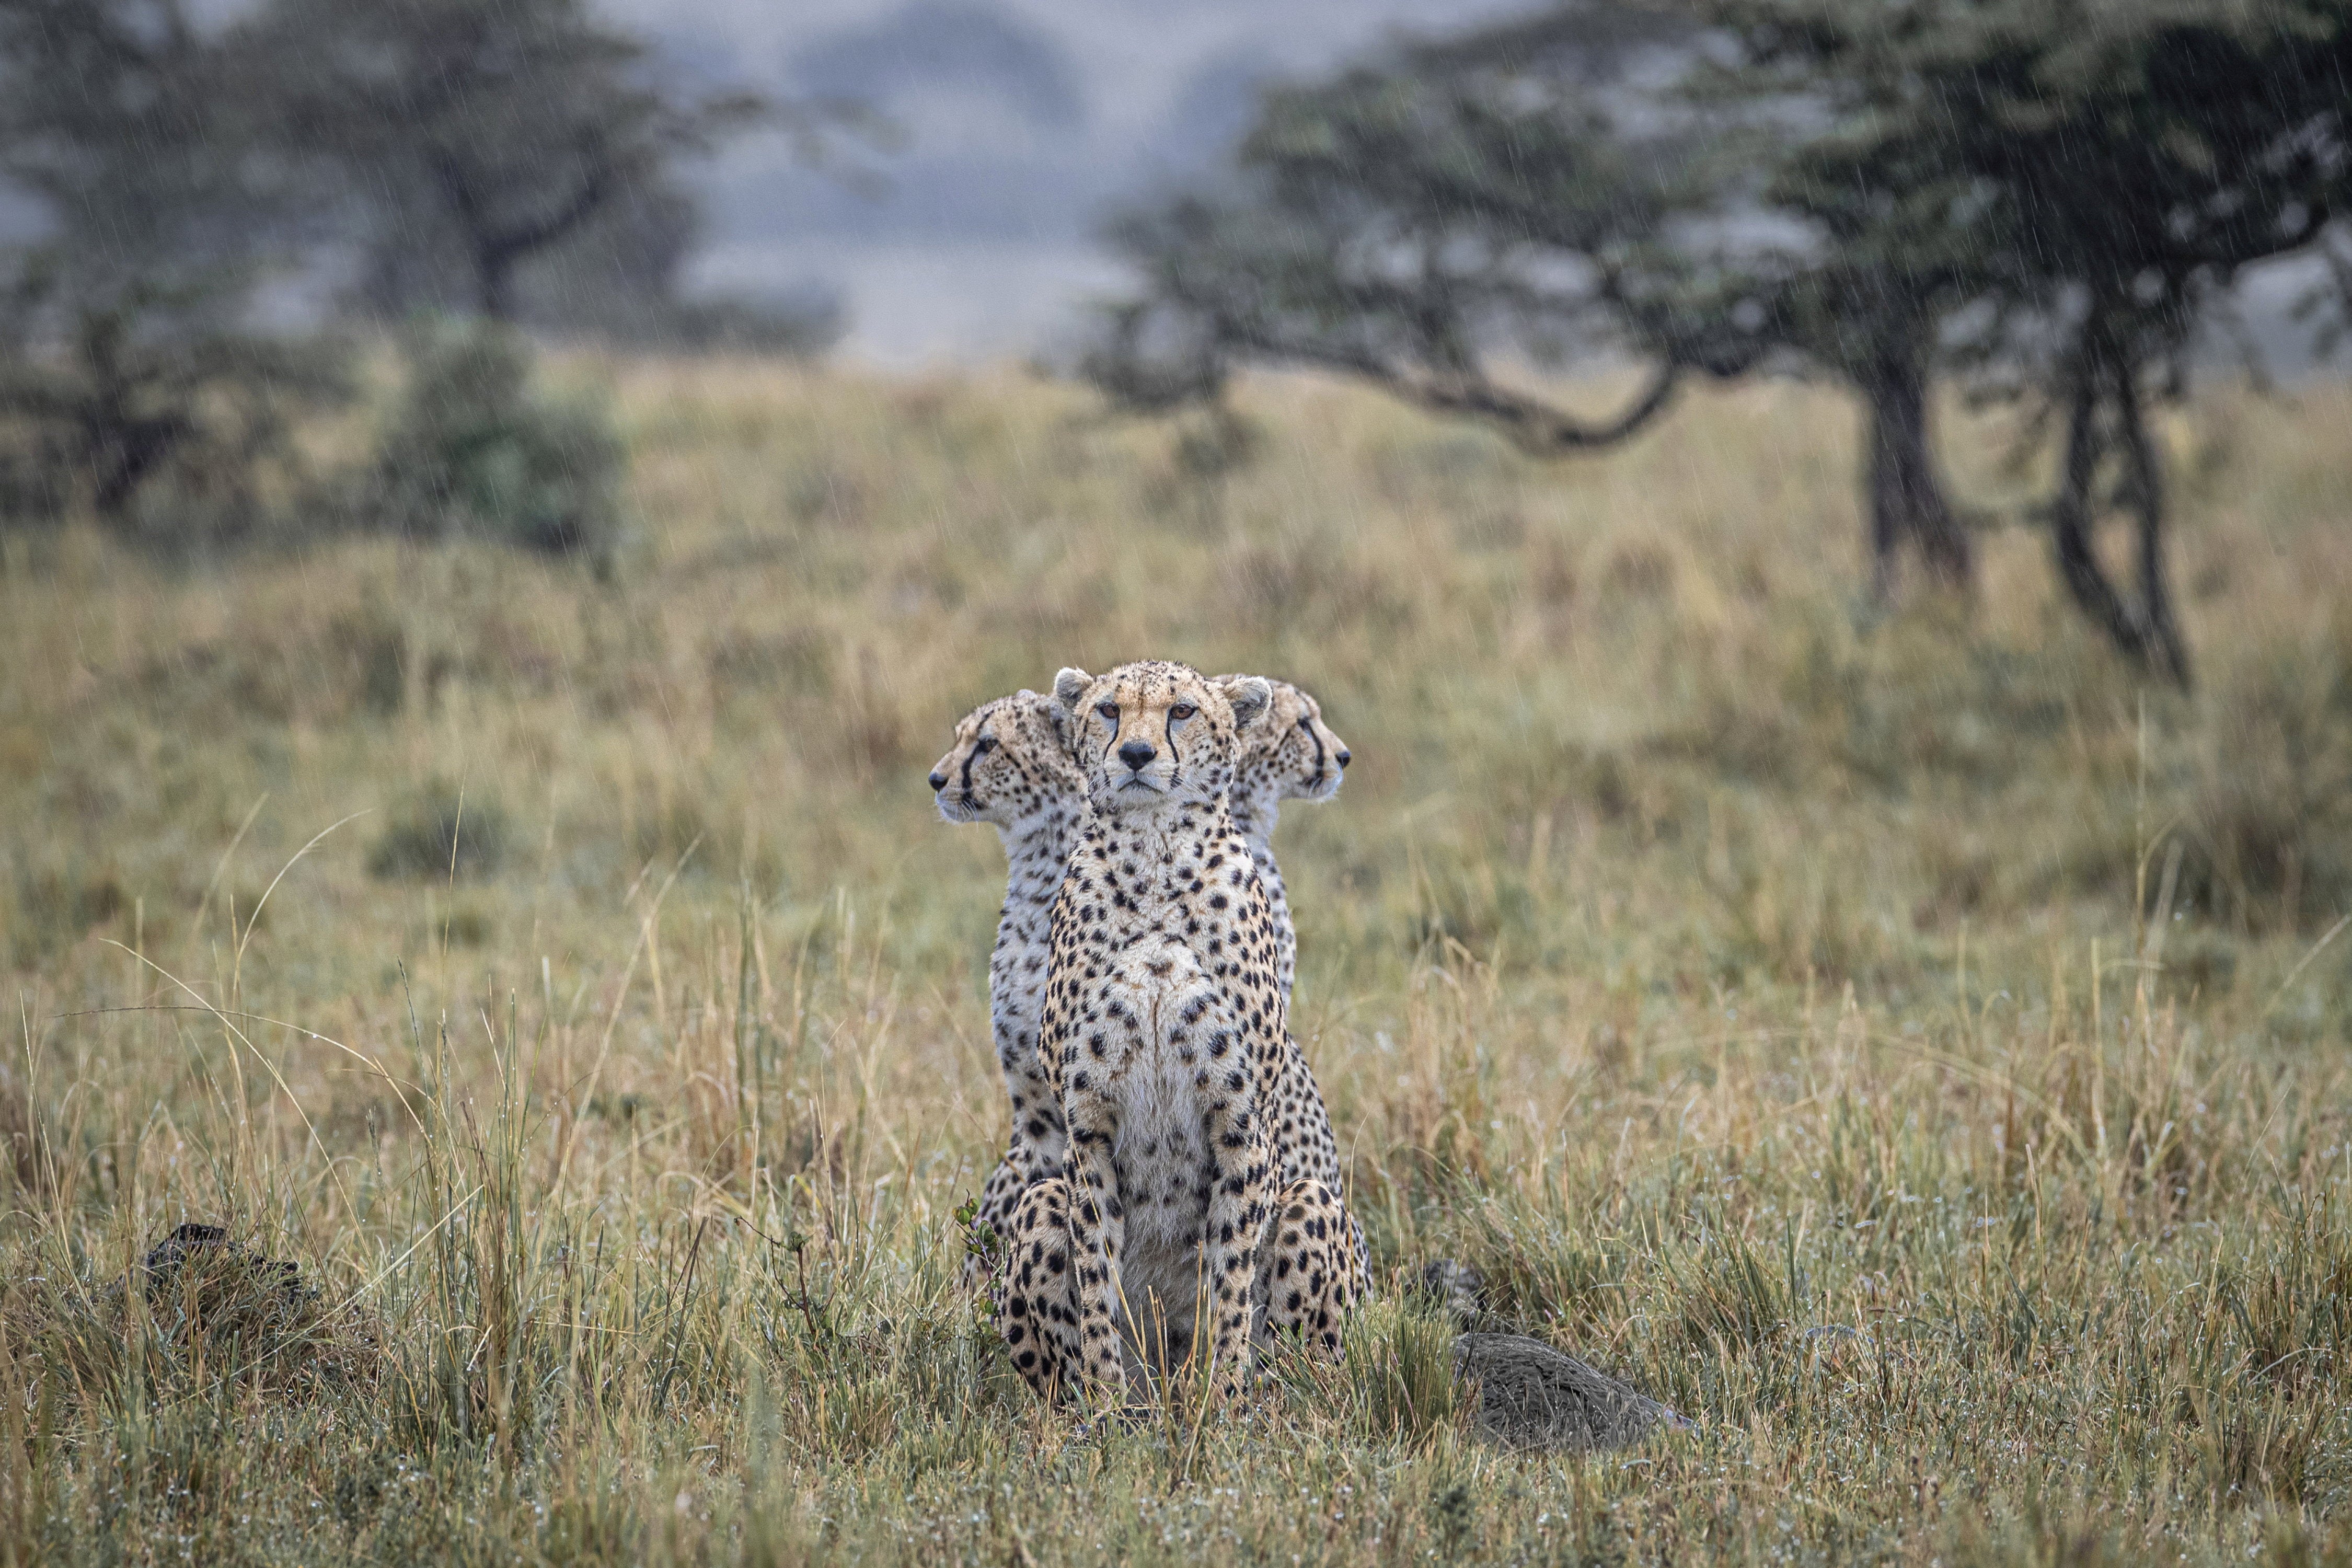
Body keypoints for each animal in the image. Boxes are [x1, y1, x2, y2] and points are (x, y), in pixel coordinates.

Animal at [988, 667, 1364, 1410]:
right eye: (1108, 710)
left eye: (1183, 711)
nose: (1136, 754)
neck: (1154, 858)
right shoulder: (1086, 1126)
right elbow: (1098, 1280)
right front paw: (1106, 1409)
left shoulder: (1241, 1122)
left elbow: (1229, 1280)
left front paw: (1220, 1406)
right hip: (1043, 1202)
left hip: (1311, 1205)